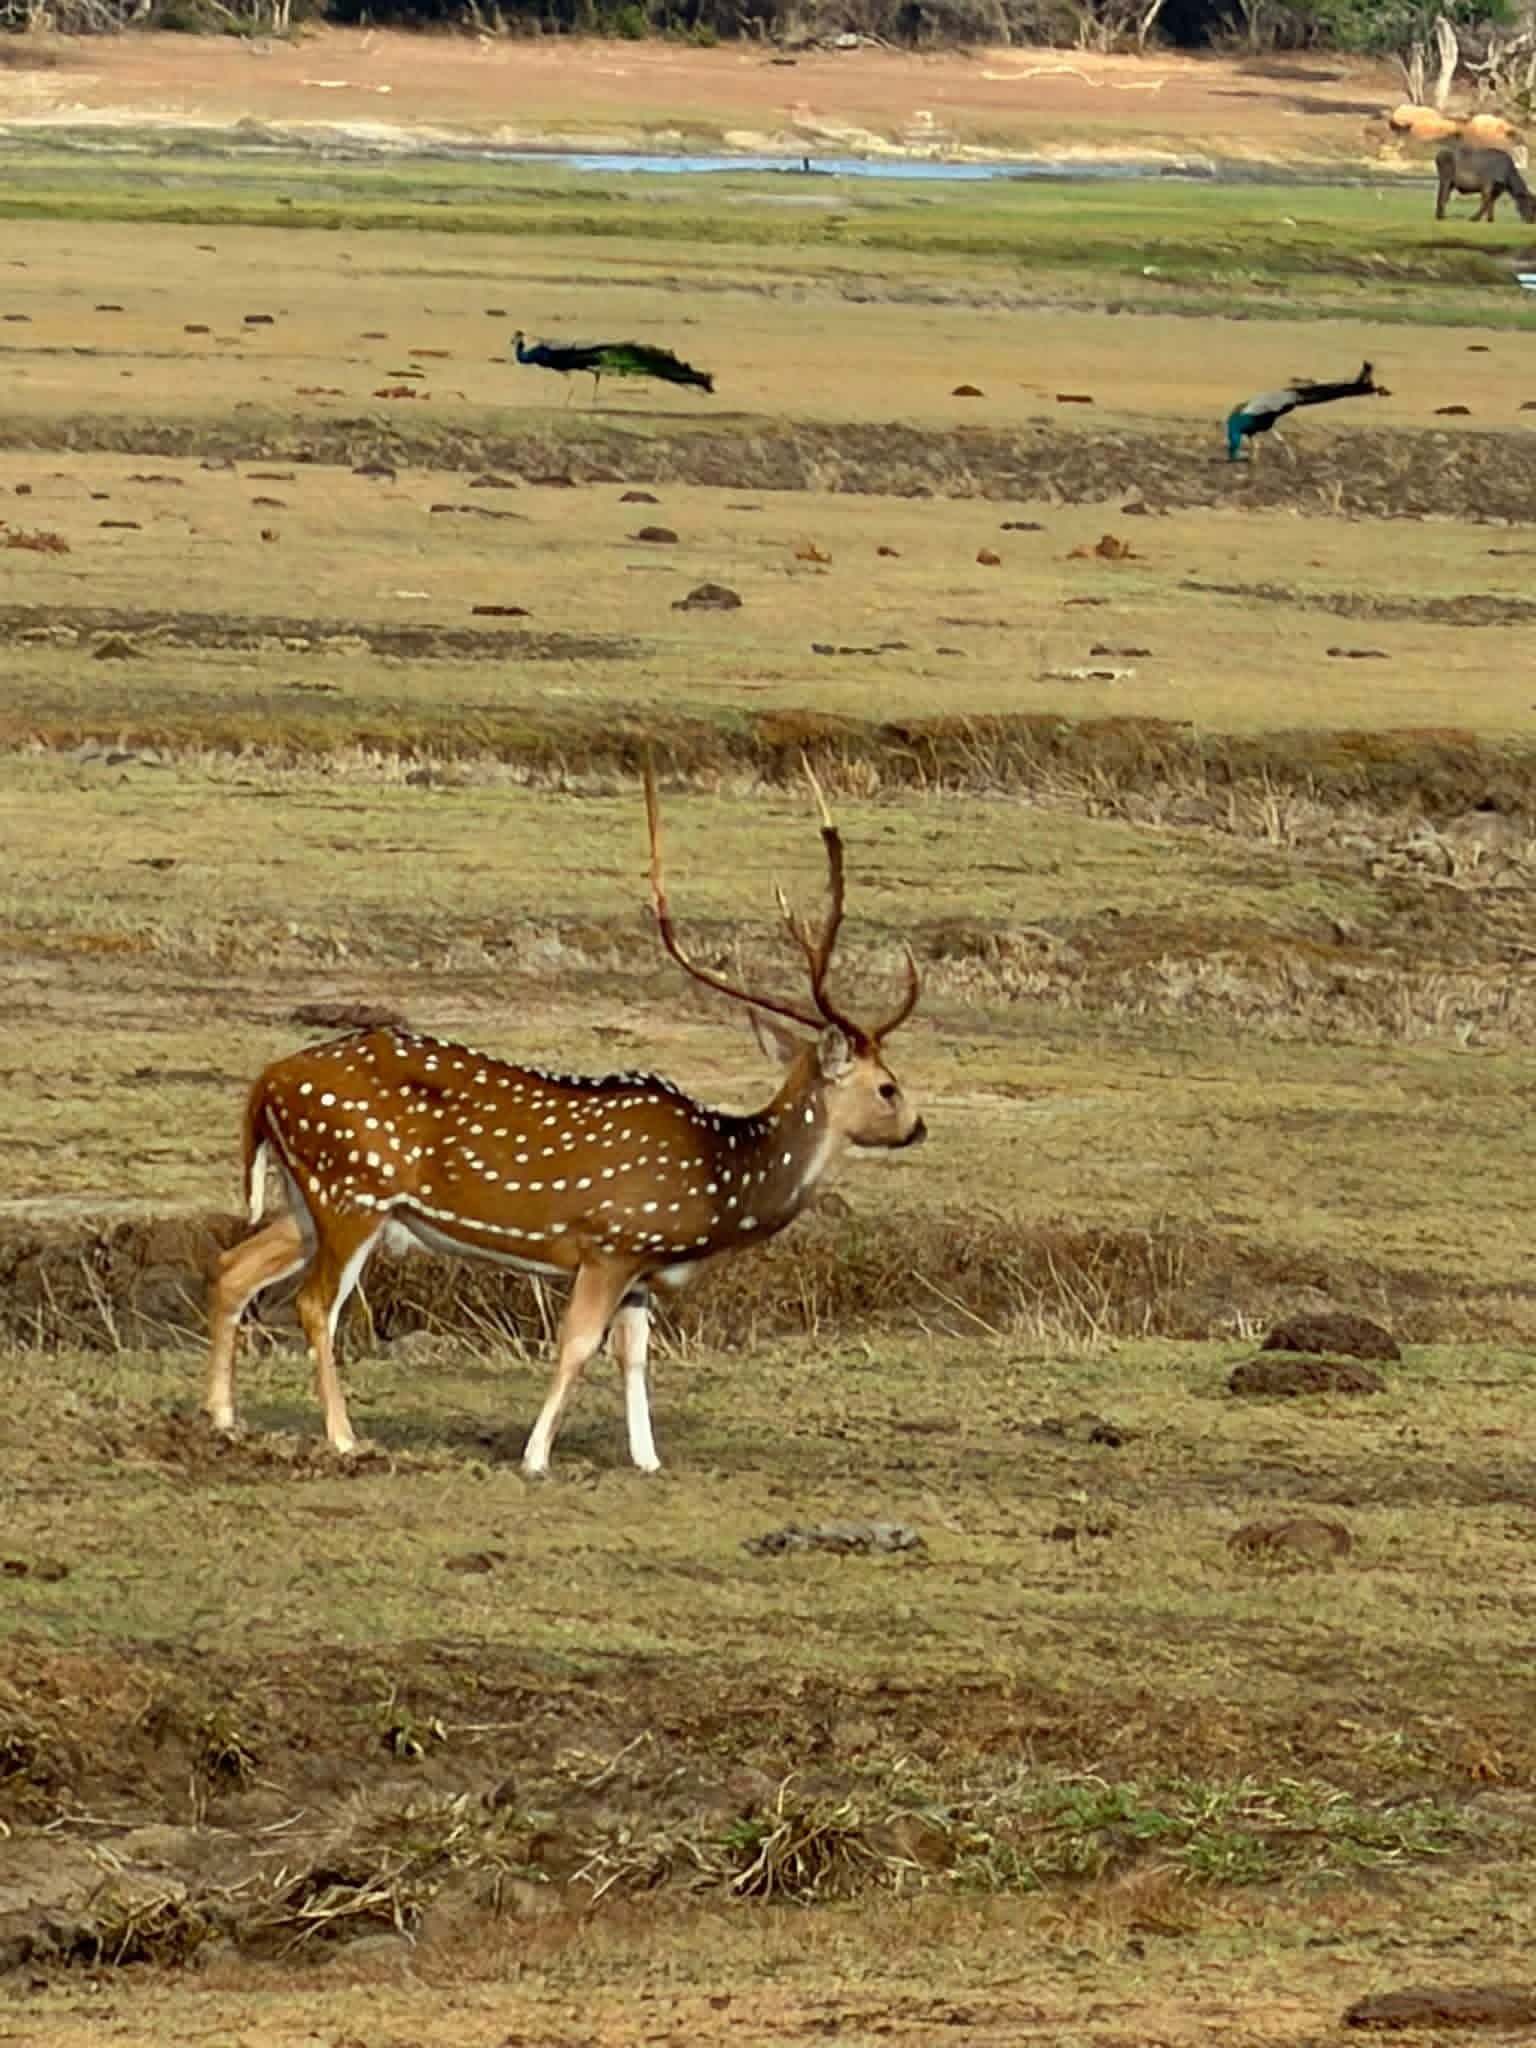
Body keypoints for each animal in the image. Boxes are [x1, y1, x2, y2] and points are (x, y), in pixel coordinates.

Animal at [206, 764, 926, 1475]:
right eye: (888, 1087)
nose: (918, 1127)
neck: (720, 1182)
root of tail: (266, 1084)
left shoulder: (640, 1266)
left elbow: (634, 1356)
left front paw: (647, 1459)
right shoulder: (611, 1241)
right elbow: (578, 1345)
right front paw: (535, 1457)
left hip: (312, 1197)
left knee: (234, 1265)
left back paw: (224, 1418)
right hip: (352, 1190)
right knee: (312, 1304)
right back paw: (344, 1438)